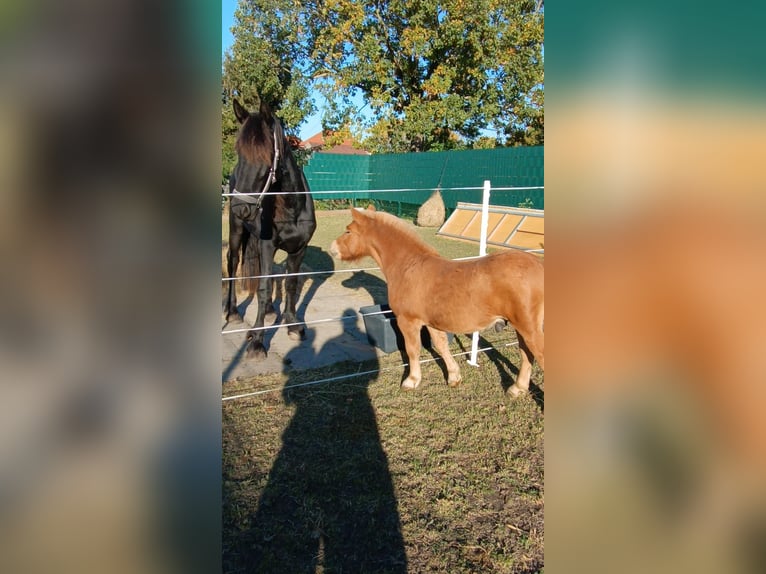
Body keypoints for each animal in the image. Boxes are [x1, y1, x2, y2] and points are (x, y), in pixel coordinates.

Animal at [225, 99, 318, 360]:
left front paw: (292, 324)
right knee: (233, 263)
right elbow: (264, 287)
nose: (241, 207)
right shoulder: (267, 245)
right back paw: (232, 311)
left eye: (267, 155)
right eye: (238, 152)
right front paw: (257, 340)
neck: (291, 208)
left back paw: (267, 312)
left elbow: (290, 284)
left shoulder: (298, 249)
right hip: (236, 232)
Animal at [330, 208, 544, 396]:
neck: (409, 266)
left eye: (348, 230)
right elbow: (441, 346)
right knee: (527, 355)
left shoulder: (408, 321)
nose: (333, 248)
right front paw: (454, 377)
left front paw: (412, 380)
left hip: (529, 328)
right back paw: (518, 389)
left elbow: (412, 350)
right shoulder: (431, 322)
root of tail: (538, 265)